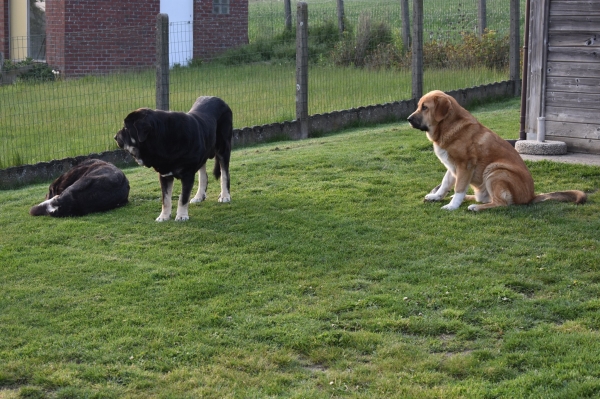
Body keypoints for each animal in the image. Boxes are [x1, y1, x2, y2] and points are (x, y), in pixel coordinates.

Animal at [408, 89, 584, 211]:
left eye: (425, 107)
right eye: (418, 106)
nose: (408, 119)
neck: (449, 126)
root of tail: (532, 196)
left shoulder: (464, 166)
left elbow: (459, 188)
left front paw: (452, 206)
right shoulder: (452, 168)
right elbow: (445, 185)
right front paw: (436, 196)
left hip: (495, 171)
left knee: (502, 203)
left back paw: (475, 207)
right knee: (486, 199)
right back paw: (471, 198)